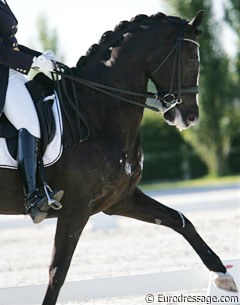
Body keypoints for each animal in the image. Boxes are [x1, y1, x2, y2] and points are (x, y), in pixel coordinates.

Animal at [0, 10, 237, 302]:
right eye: (192, 58)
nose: (191, 117)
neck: (94, 111)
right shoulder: (76, 208)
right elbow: (58, 272)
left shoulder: (119, 199)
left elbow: (181, 221)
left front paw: (223, 275)